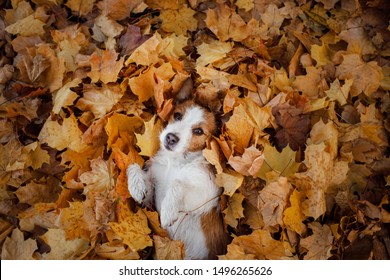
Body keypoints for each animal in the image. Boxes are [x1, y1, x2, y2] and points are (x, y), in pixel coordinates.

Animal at [126, 95, 227, 258]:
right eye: (177, 115)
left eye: (198, 131)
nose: (171, 138)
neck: (175, 161)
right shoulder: (152, 191)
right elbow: (133, 165)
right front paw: (136, 187)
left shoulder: (206, 198)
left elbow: (177, 182)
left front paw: (168, 210)